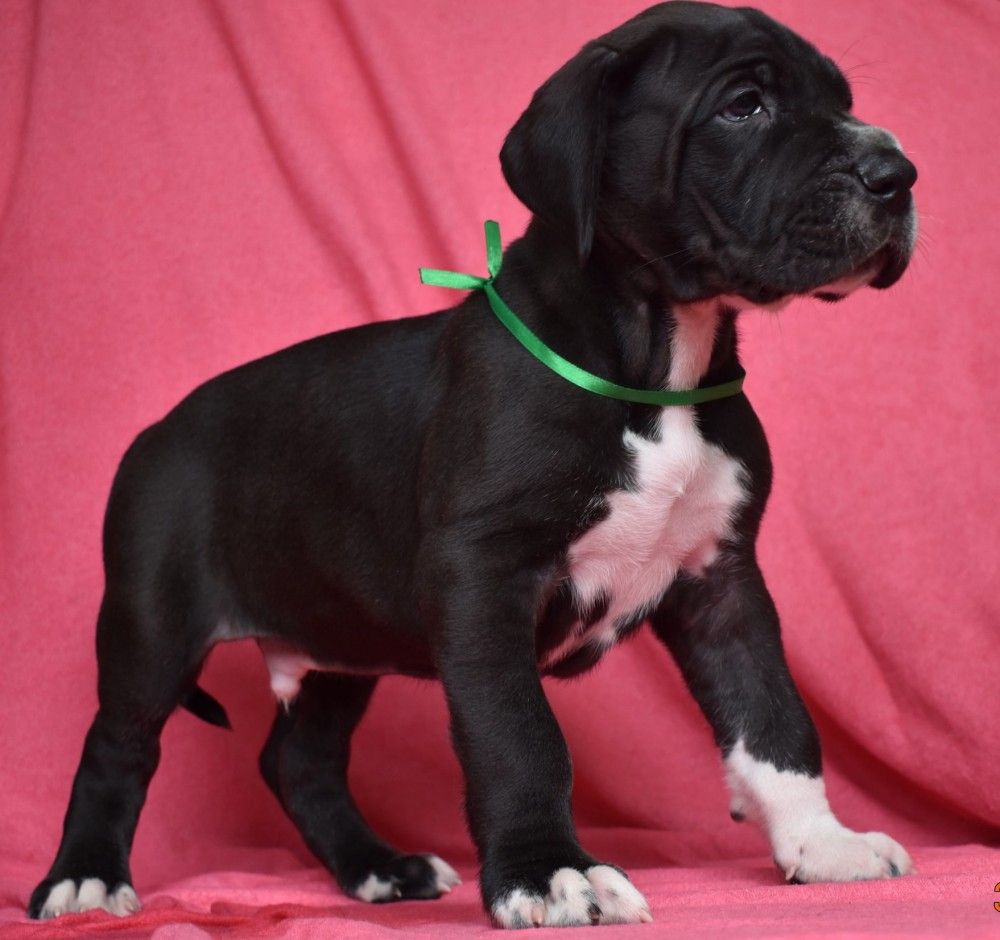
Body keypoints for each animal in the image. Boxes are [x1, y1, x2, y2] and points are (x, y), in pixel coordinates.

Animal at [29, 1, 917, 928]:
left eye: (842, 100)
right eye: (745, 106)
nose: (897, 175)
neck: (658, 370)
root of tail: (159, 428)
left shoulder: (722, 580)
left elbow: (772, 714)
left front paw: (822, 843)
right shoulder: (482, 576)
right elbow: (518, 737)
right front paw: (549, 873)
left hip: (340, 636)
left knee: (298, 759)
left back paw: (379, 870)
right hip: (152, 622)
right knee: (118, 745)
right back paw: (84, 879)